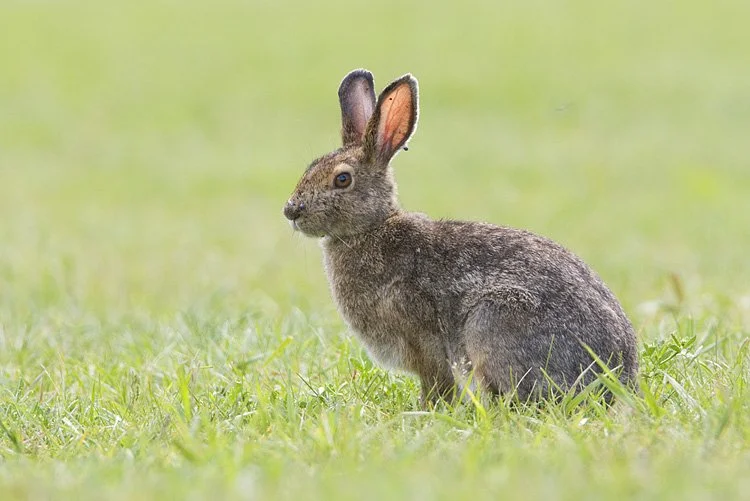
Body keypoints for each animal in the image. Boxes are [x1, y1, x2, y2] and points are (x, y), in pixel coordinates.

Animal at [283, 69, 638, 405]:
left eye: (342, 179)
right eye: (311, 166)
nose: (291, 211)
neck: (371, 228)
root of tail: (620, 380)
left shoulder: (423, 341)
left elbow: (437, 382)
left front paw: (428, 409)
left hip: (494, 320)